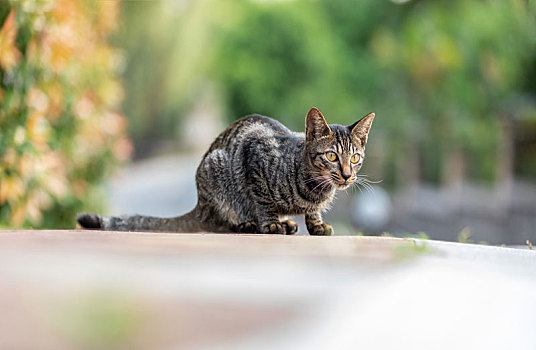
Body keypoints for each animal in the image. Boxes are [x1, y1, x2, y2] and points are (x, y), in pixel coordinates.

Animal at [77, 106, 374, 235]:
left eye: (355, 157)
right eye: (332, 156)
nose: (347, 174)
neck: (314, 190)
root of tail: (200, 204)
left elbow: (313, 213)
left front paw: (316, 223)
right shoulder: (254, 154)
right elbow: (263, 201)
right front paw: (270, 223)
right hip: (216, 168)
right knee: (224, 219)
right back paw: (248, 223)